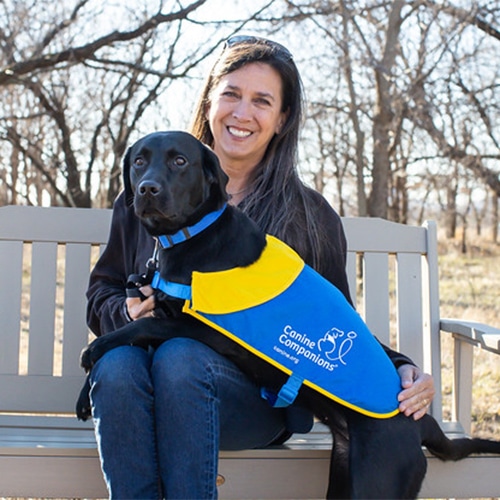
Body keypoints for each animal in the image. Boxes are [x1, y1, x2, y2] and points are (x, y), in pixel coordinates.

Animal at [75, 131, 500, 498]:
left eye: (180, 160)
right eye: (139, 161)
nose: (146, 189)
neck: (192, 237)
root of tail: (423, 423)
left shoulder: (196, 326)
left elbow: (137, 329)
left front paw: (91, 352)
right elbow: (132, 334)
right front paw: (85, 396)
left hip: (379, 478)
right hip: (344, 473)